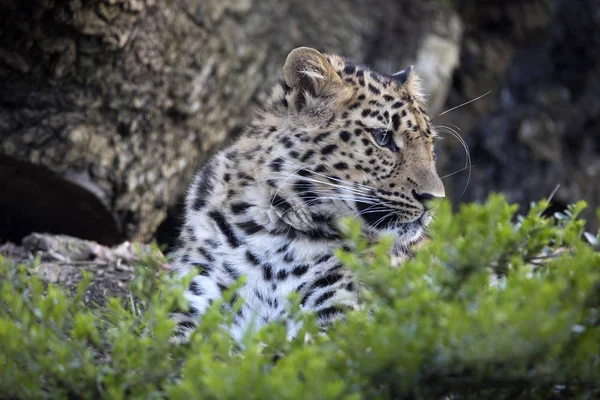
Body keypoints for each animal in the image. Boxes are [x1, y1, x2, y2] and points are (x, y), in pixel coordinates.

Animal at [169, 47, 446, 344]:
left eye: (430, 144)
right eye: (382, 137)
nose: (434, 198)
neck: (272, 232)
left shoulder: (337, 316)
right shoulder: (194, 298)